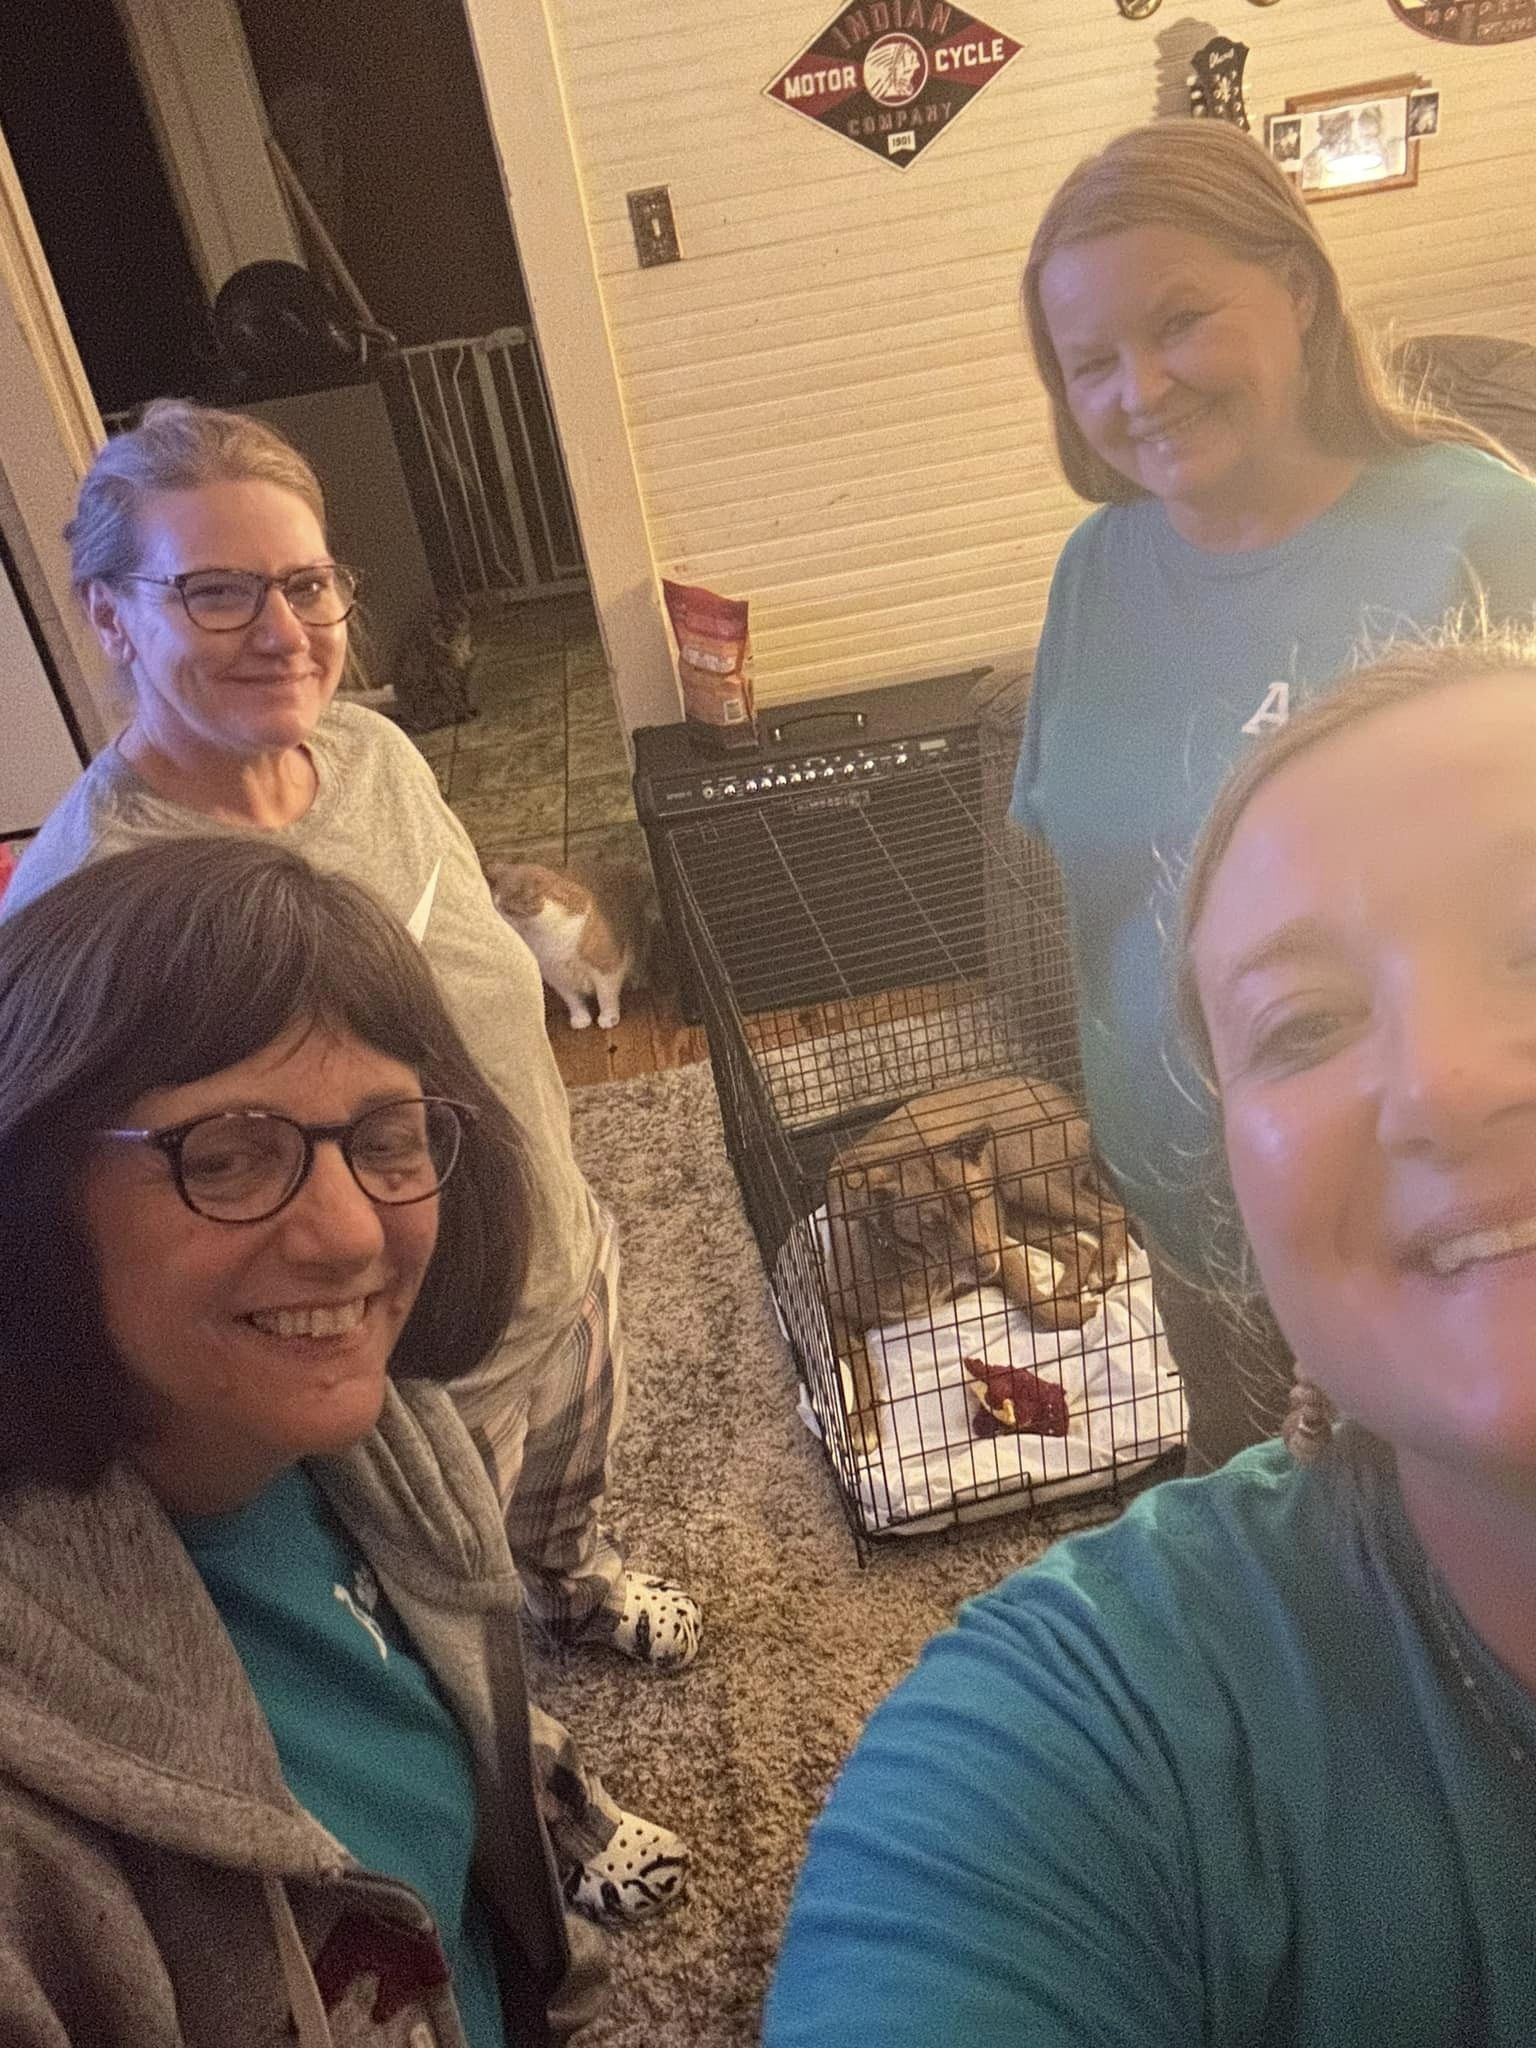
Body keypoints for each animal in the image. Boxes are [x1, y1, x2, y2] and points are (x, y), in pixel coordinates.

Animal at [487, 856, 667, 1032]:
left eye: (507, 910)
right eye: (494, 907)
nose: (495, 920)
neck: (548, 937)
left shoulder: (606, 969)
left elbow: (605, 997)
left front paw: (608, 1017)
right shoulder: (558, 978)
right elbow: (573, 1001)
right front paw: (581, 1019)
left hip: (639, 938)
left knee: (641, 957)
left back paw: (637, 978)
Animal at [831, 1081, 1130, 1449]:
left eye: (974, 1200)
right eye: (931, 1224)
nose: (988, 1267)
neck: (915, 1261)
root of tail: (1049, 1089)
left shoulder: (1002, 1250)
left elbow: (1035, 1304)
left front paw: (1077, 1315)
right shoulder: (836, 1312)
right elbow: (856, 1363)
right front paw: (863, 1424)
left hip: (1029, 1185)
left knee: (1111, 1213)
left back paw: (1103, 1270)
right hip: (1018, 1214)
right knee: (1079, 1247)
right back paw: (1067, 1288)